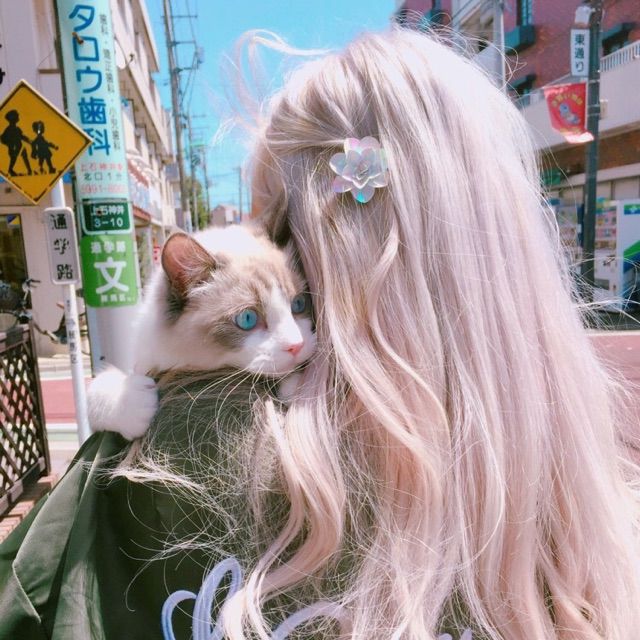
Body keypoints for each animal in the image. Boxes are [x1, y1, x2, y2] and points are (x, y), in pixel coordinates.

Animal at [87, 224, 316, 440]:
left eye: (298, 304)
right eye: (247, 318)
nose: (297, 345)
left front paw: (296, 387)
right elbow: (98, 389)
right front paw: (132, 404)